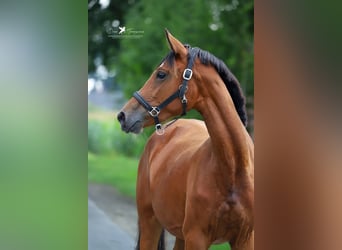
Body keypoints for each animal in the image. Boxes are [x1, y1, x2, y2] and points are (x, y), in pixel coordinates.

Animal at [117, 29, 254, 250]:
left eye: (161, 74)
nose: (123, 116)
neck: (233, 171)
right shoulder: (196, 237)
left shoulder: (245, 239)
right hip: (150, 224)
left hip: (180, 234)